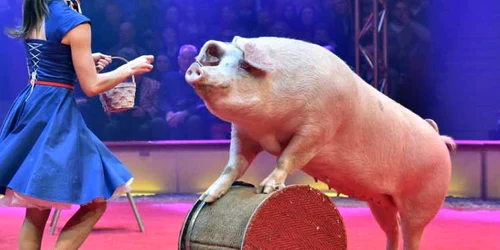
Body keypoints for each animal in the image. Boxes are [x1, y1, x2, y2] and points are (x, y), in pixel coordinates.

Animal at [185, 35, 458, 250]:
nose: (194, 68)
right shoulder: (243, 133)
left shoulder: (318, 128)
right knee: (393, 229)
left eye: (243, 64)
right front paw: (207, 196)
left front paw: (265, 188)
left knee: (412, 233)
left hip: (424, 201)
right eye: (220, 61)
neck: (268, 127)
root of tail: (438, 138)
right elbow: (233, 166)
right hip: (381, 201)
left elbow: (287, 157)